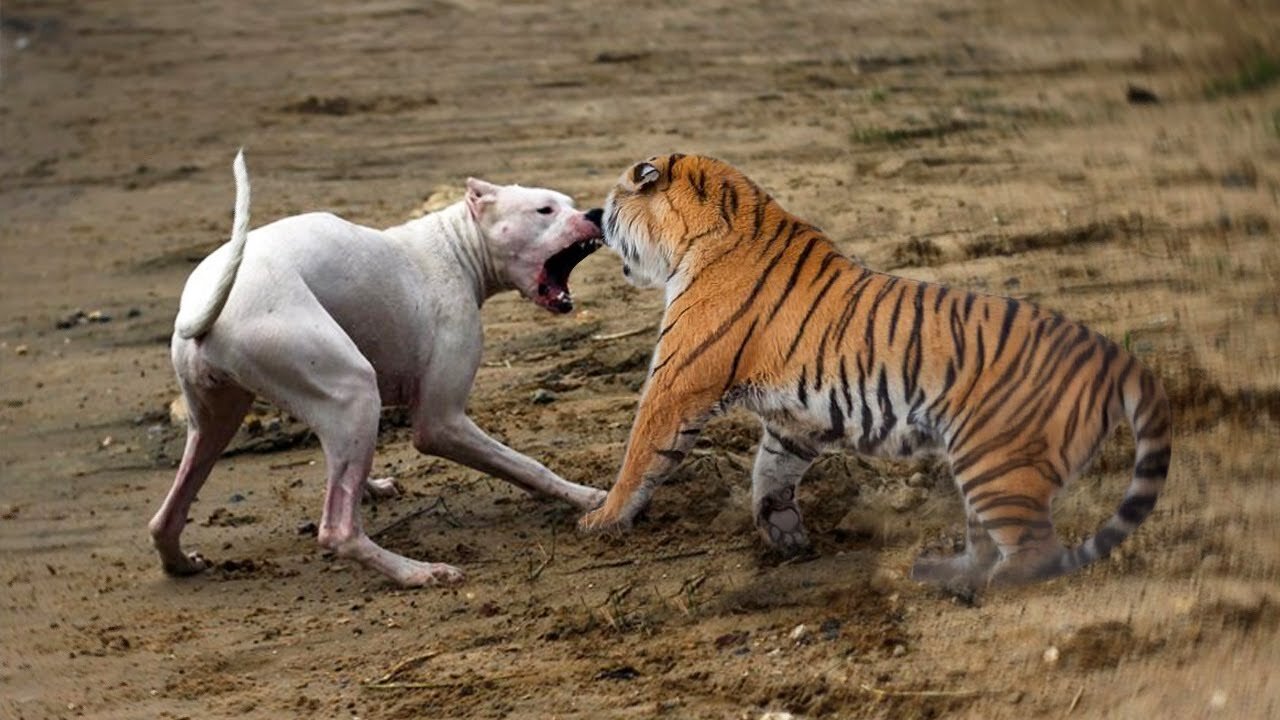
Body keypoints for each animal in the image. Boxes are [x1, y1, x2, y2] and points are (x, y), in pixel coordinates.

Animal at [149, 151, 604, 584]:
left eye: (571, 204)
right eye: (545, 210)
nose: (596, 213)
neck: (459, 245)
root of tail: (196, 308)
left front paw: (370, 487)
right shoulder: (441, 424)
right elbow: (528, 465)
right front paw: (585, 497)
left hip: (219, 421)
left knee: (163, 520)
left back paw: (181, 563)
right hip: (355, 393)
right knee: (339, 531)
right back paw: (417, 573)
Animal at [578, 151, 1172, 589]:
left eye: (611, 200)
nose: (590, 217)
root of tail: (1113, 354)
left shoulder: (676, 384)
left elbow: (641, 455)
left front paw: (602, 520)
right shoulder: (795, 422)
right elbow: (770, 476)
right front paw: (785, 538)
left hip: (996, 464)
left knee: (1037, 553)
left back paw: (977, 584)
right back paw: (942, 570)